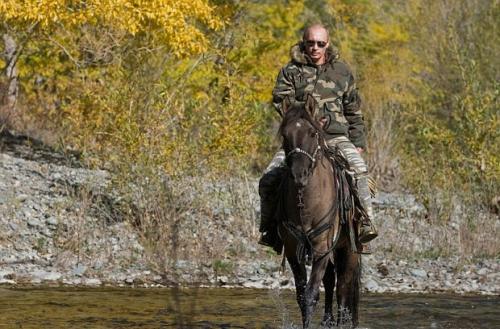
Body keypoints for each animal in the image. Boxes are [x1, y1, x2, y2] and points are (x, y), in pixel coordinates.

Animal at [276, 96, 362, 326]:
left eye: (313, 133)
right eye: (284, 134)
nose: (299, 174)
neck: (306, 203)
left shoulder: (322, 247)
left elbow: (312, 294)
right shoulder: (293, 250)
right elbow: (301, 295)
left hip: (348, 249)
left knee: (343, 287)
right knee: (332, 281)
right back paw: (327, 321)